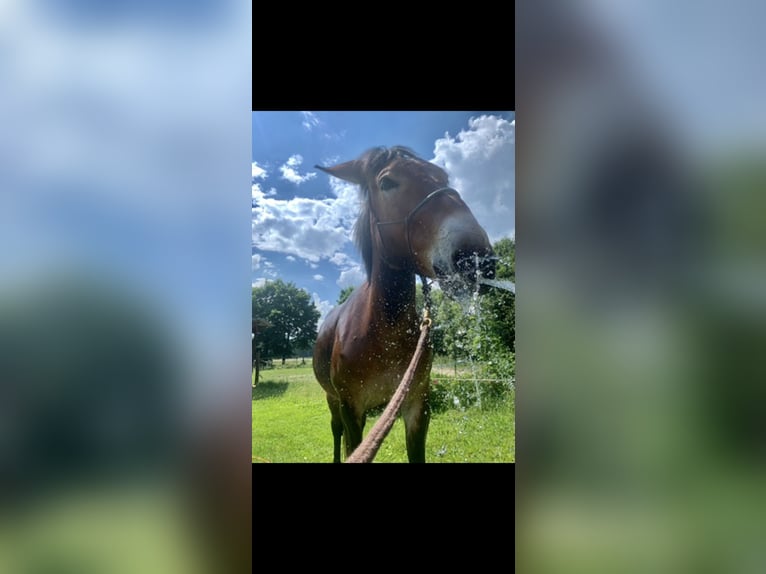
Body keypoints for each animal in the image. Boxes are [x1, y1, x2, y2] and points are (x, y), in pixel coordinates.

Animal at [312, 146, 495, 462]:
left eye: (443, 176)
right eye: (387, 182)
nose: (476, 257)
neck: (382, 331)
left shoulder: (417, 408)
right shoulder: (351, 411)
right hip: (332, 400)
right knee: (335, 433)